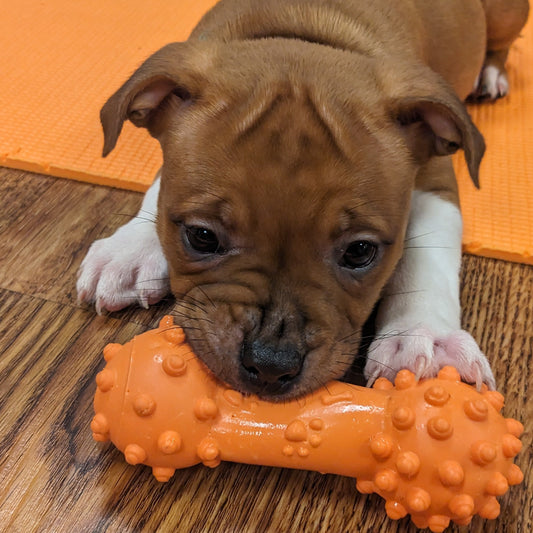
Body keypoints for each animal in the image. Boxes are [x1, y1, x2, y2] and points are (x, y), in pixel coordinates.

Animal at [76, 0, 528, 400]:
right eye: (201, 237)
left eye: (360, 252)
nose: (270, 364)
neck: (305, 30)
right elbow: (159, 182)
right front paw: (130, 248)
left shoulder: (436, 175)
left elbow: (428, 257)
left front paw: (426, 338)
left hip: (507, 13)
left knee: (499, 47)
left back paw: (491, 76)